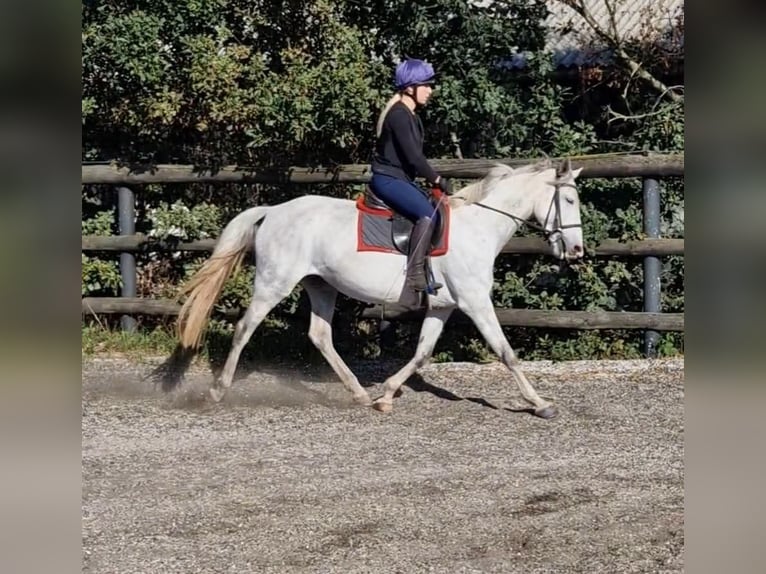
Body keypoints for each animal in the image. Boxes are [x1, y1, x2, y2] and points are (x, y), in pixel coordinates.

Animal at [174, 158, 584, 418]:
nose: (577, 250)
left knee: (319, 335)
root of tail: (273, 210)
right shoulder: (474, 302)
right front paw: (540, 403)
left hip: (320, 285)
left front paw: (386, 394)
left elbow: (422, 354)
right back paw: (217, 391)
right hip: (274, 283)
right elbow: (506, 352)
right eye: (568, 199)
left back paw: (357, 392)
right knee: (245, 328)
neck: (478, 228)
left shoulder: (443, 306)